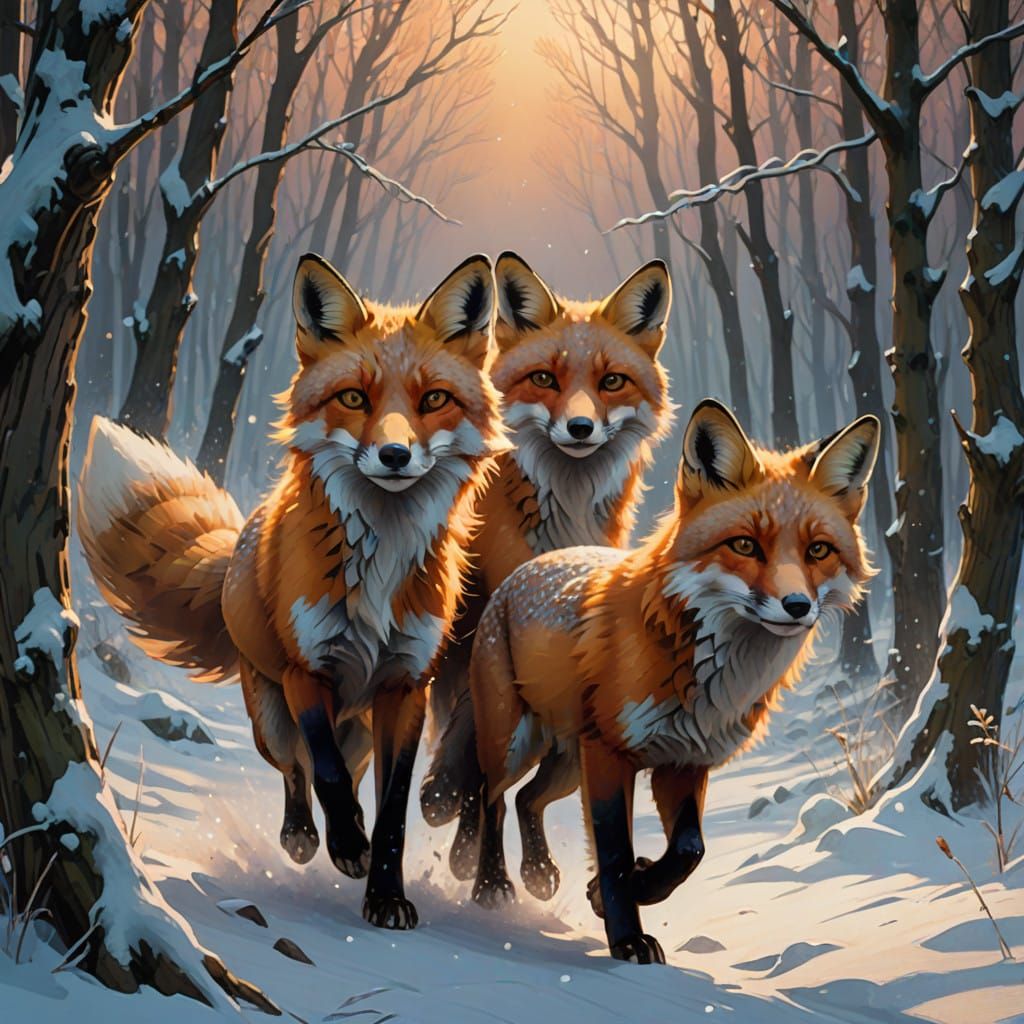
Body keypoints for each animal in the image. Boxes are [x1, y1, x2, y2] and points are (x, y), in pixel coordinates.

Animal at [78, 252, 505, 930]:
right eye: (354, 397)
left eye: (433, 399)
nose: (394, 454)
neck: (381, 561)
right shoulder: (309, 671)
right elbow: (323, 771)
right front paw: (347, 847)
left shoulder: (406, 685)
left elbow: (391, 813)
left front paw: (385, 895)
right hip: (270, 718)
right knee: (294, 769)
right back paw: (304, 836)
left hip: (362, 731)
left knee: (344, 773)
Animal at [419, 252, 674, 885]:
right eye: (545, 379)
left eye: (611, 382)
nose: (580, 429)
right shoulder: (486, 627)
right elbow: (474, 744)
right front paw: (464, 835)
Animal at [466, 399, 880, 963]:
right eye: (745, 545)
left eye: (818, 551)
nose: (797, 606)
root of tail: (531, 566)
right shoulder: (610, 754)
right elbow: (615, 851)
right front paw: (626, 937)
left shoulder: (684, 760)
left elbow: (688, 850)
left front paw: (628, 889)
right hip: (515, 742)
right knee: (491, 798)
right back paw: (492, 887)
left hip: (567, 762)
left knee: (529, 799)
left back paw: (539, 872)